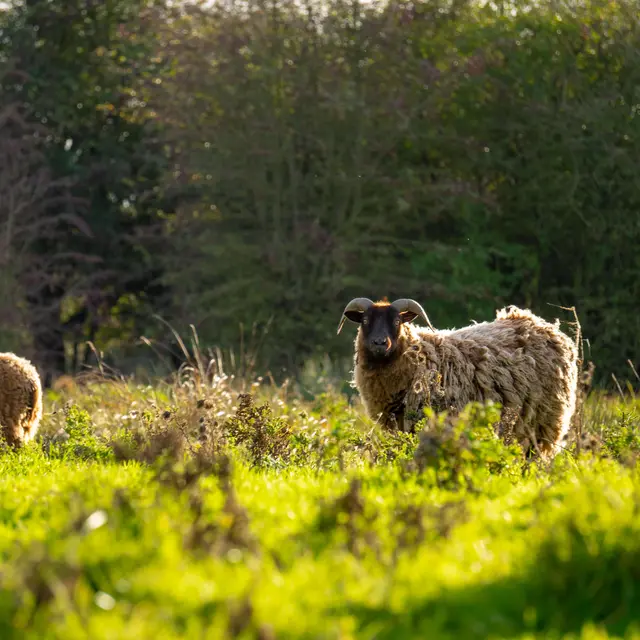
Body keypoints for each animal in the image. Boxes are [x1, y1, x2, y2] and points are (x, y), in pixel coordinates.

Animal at [337, 298, 578, 459]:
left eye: (397, 322)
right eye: (365, 320)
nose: (379, 343)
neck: (419, 356)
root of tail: (542, 325)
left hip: (544, 423)